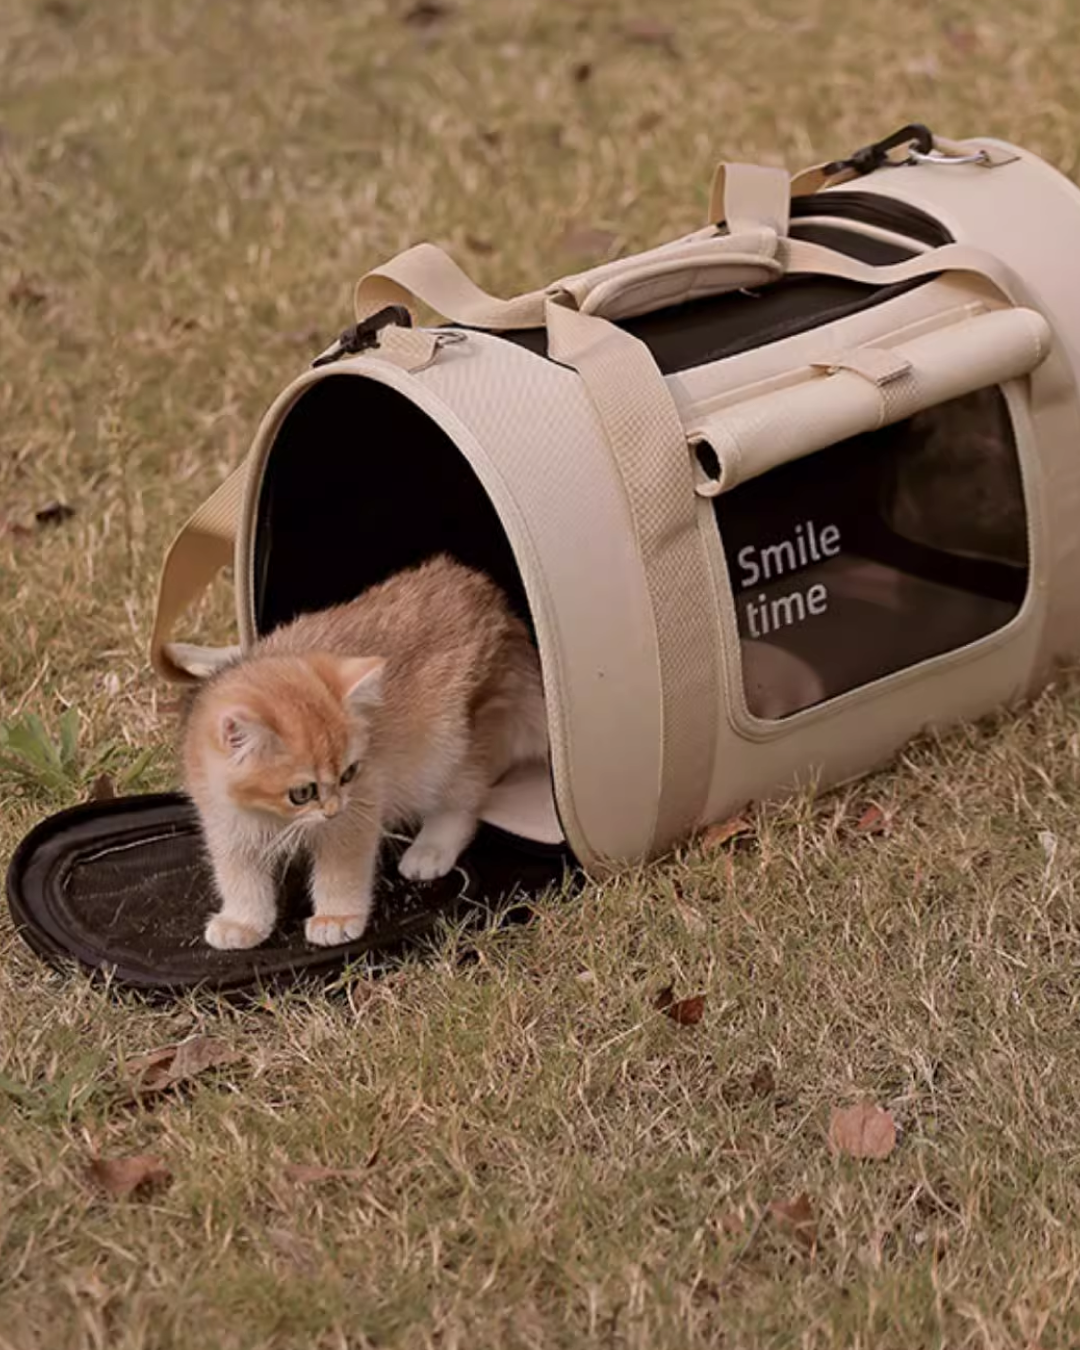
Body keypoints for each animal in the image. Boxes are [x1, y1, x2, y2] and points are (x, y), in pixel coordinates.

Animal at [183, 556, 548, 950]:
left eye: (348, 774)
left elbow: (341, 867)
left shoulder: (359, 807)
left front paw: (335, 917)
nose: (333, 808)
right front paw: (242, 922)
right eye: (302, 792)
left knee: (463, 802)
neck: (268, 815)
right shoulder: (225, 823)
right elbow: (239, 875)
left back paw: (431, 849)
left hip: (450, 746)